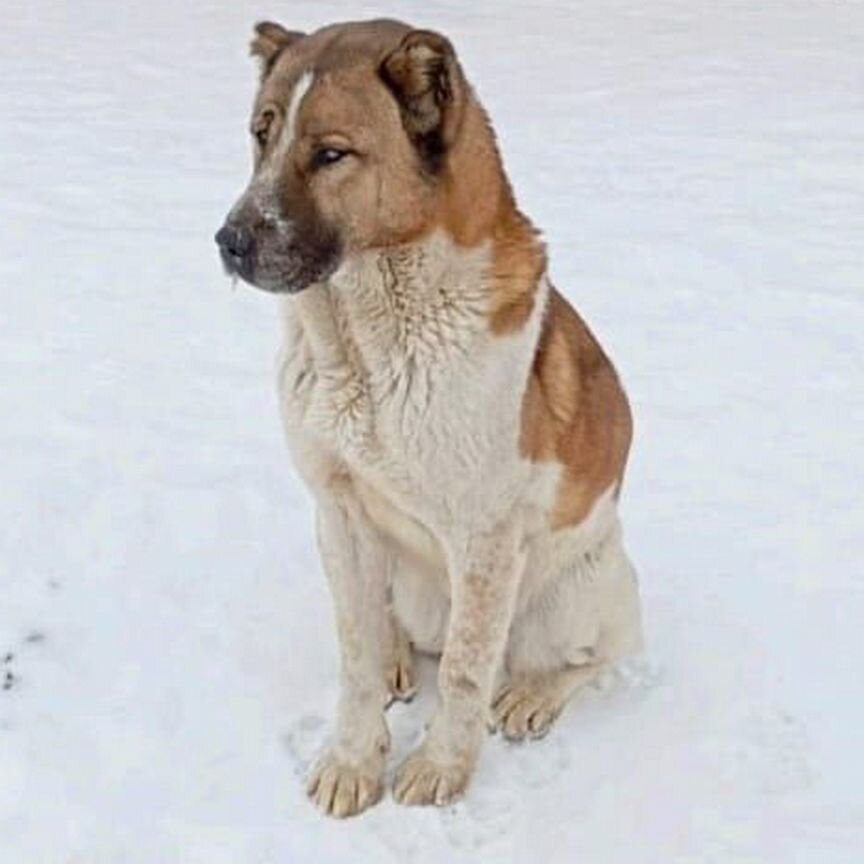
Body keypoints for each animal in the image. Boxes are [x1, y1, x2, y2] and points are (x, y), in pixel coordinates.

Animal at [216, 18, 640, 816]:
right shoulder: (338, 509)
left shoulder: (484, 539)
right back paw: (397, 664)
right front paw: (354, 760)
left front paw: (442, 768)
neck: (364, 349)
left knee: (596, 655)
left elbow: (469, 671)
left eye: (331, 153)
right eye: (262, 134)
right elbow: (353, 653)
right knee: (391, 634)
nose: (229, 243)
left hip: (576, 595)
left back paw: (533, 696)